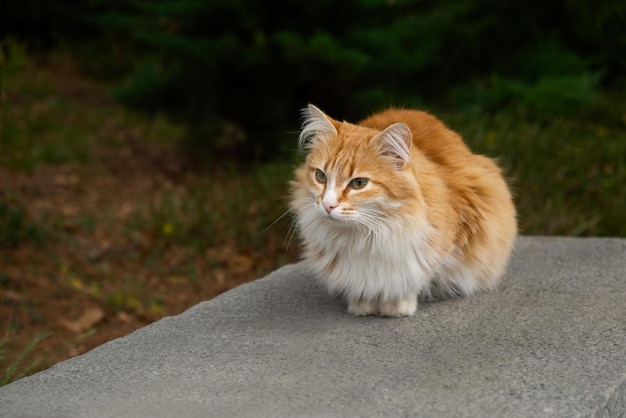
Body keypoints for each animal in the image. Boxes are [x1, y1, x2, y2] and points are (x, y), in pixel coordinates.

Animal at [290, 103, 516, 316]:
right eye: (321, 176)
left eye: (359, 183)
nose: (327, 205)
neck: (365, 236)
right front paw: (362, 303)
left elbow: (410, 278)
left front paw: (397, 305)